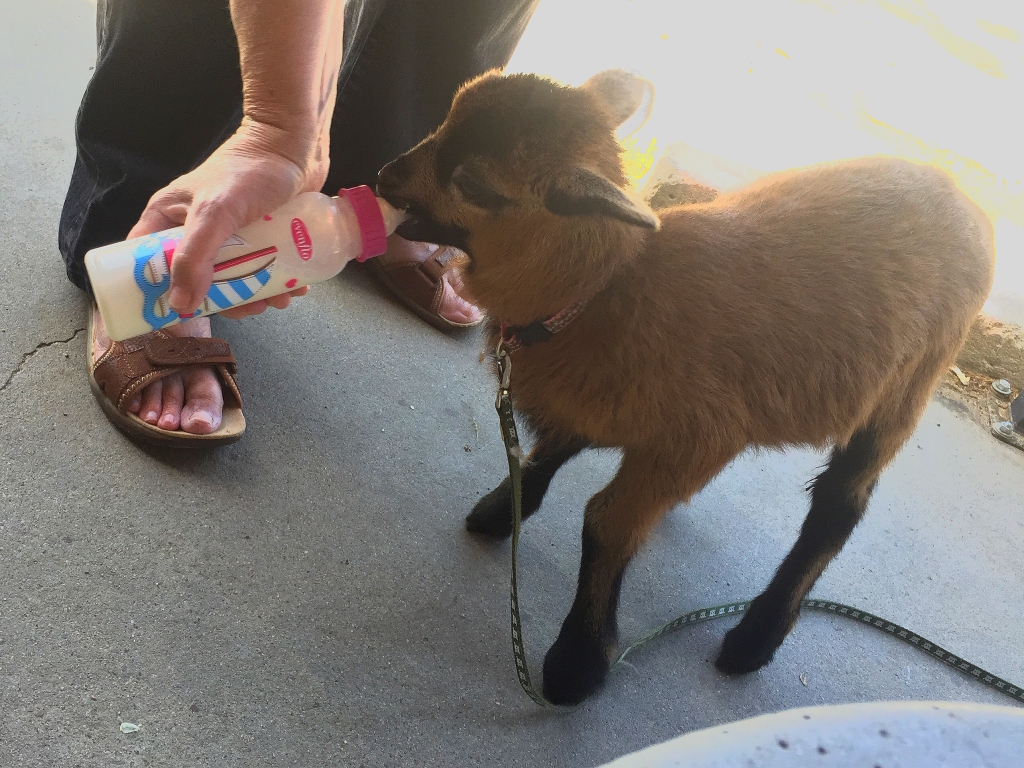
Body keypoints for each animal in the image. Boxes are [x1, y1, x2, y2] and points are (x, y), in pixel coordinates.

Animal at [376, 69, 991, 708]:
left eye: (474, 183)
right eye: (446, 118)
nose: (384, 178)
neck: (605, 289)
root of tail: (962, 196)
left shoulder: (695, 435)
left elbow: (605, 521)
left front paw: (579, 662)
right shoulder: (617, 408)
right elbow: (551, 451)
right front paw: (503, 510)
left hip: (907, 391)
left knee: (841, 504)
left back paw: (756, 637)